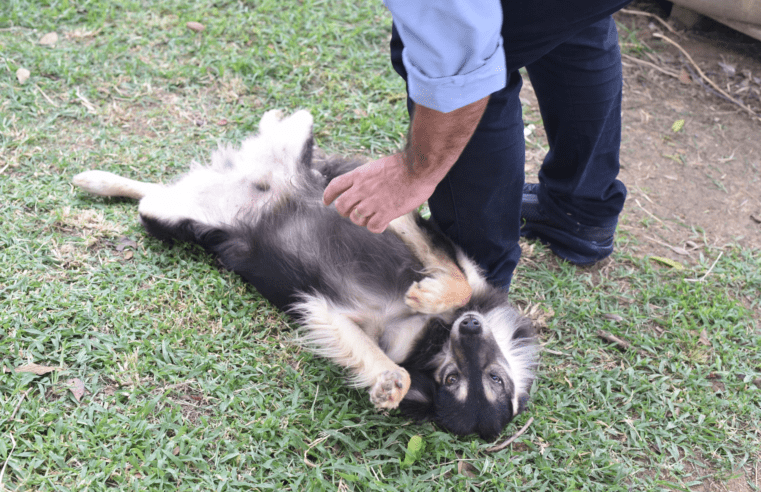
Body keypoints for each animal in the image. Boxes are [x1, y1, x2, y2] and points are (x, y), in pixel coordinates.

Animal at [70, 109, 536, 440]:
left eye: (464, 380)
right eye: (490, 376)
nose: (470, 327)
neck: (433, 338)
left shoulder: (331, 313)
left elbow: (389, 366)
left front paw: (388, 383)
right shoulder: (443, 250)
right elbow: (455, 279)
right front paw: (428, 292)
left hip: (165, 216)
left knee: (149, 194)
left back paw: (99, 181)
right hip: (294, 150)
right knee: (294, 130)